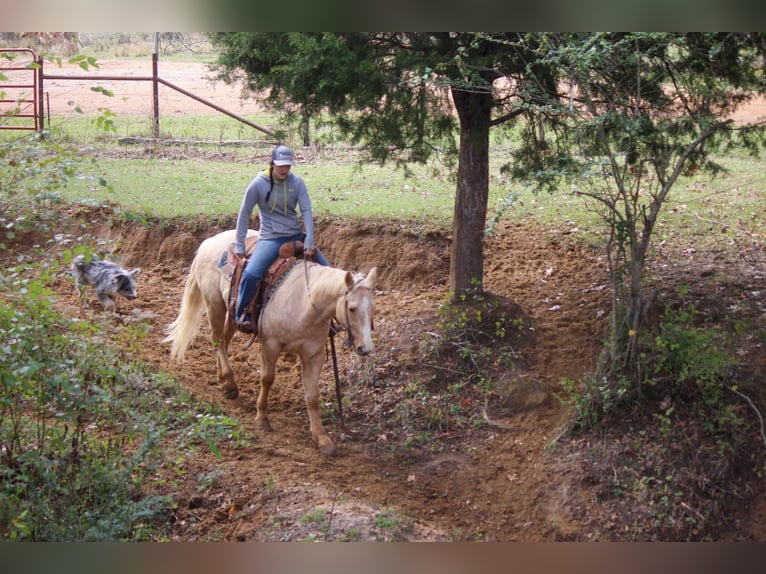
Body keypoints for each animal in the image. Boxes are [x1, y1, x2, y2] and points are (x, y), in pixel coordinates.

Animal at [164, 227, 378, 456]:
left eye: (373, 308)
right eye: (352, 308)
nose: (366, 348)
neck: (304, 302)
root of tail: (208, 242)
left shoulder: (314, 355)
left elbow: (312, 396)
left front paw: (322, 438)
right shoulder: (270, 345)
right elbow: (267, 379)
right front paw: (261, 417)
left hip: (232, 310)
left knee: (225, 338)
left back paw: (222, 377)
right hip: (214, 304)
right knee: (217, 339)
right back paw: (230, 383)